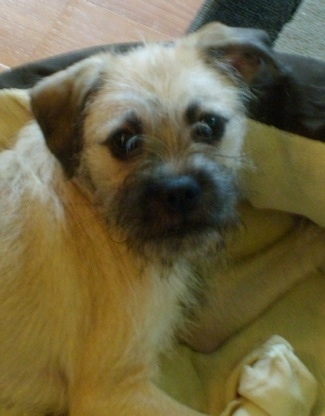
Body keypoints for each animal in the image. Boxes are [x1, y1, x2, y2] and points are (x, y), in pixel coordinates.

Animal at [1, 22, 324, 416]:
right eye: (124, 142)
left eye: (209, 126)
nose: (180, 192)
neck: (96, 204)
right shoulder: (116, 392)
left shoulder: (198, 319)